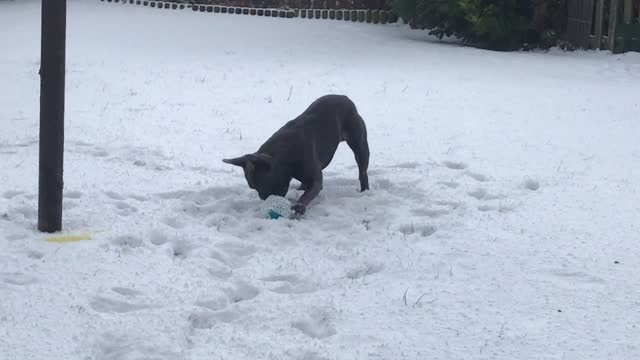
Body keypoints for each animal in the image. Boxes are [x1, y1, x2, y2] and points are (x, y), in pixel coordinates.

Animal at [222, 94, 370, 215]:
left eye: (264, 184)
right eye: (252, 187)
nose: (263, 198)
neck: (283, 157)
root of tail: (344, 97)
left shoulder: (315, 181)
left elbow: (305, 197)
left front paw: (297, 209)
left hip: (360, 145)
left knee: (362, 170)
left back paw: (365, 191)